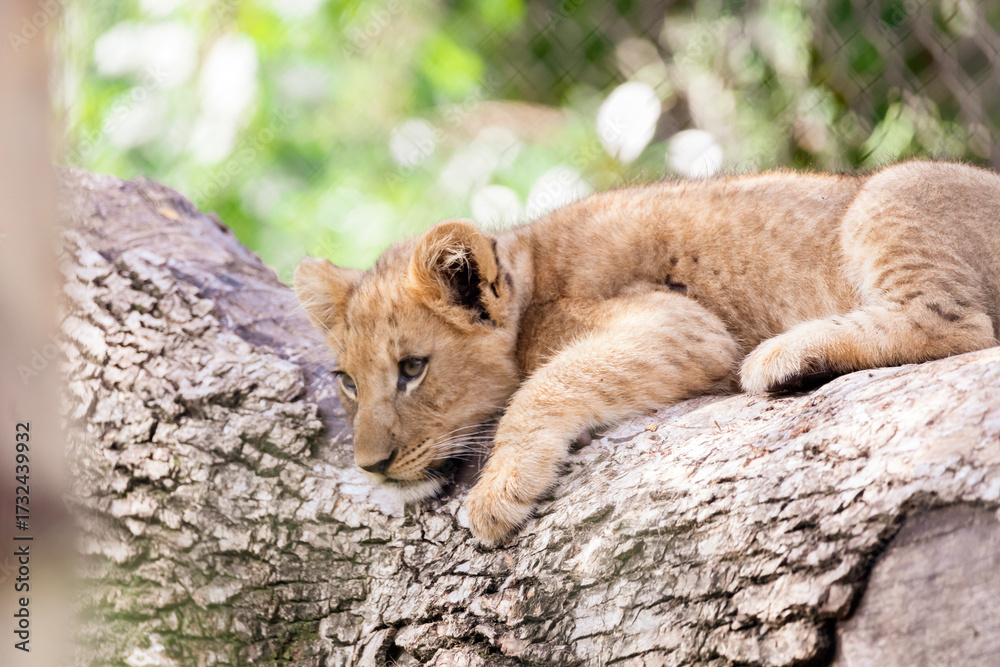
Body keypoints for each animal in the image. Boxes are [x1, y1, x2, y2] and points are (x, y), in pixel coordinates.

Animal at [295, 160, 1000, 544]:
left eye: (412, 370)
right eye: (347, 382)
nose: (371, 466)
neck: (529, 275)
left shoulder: (682, 325)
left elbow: (544, 384)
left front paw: (497, 490)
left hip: (893, 188)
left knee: (959, 325)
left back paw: (785, 356)